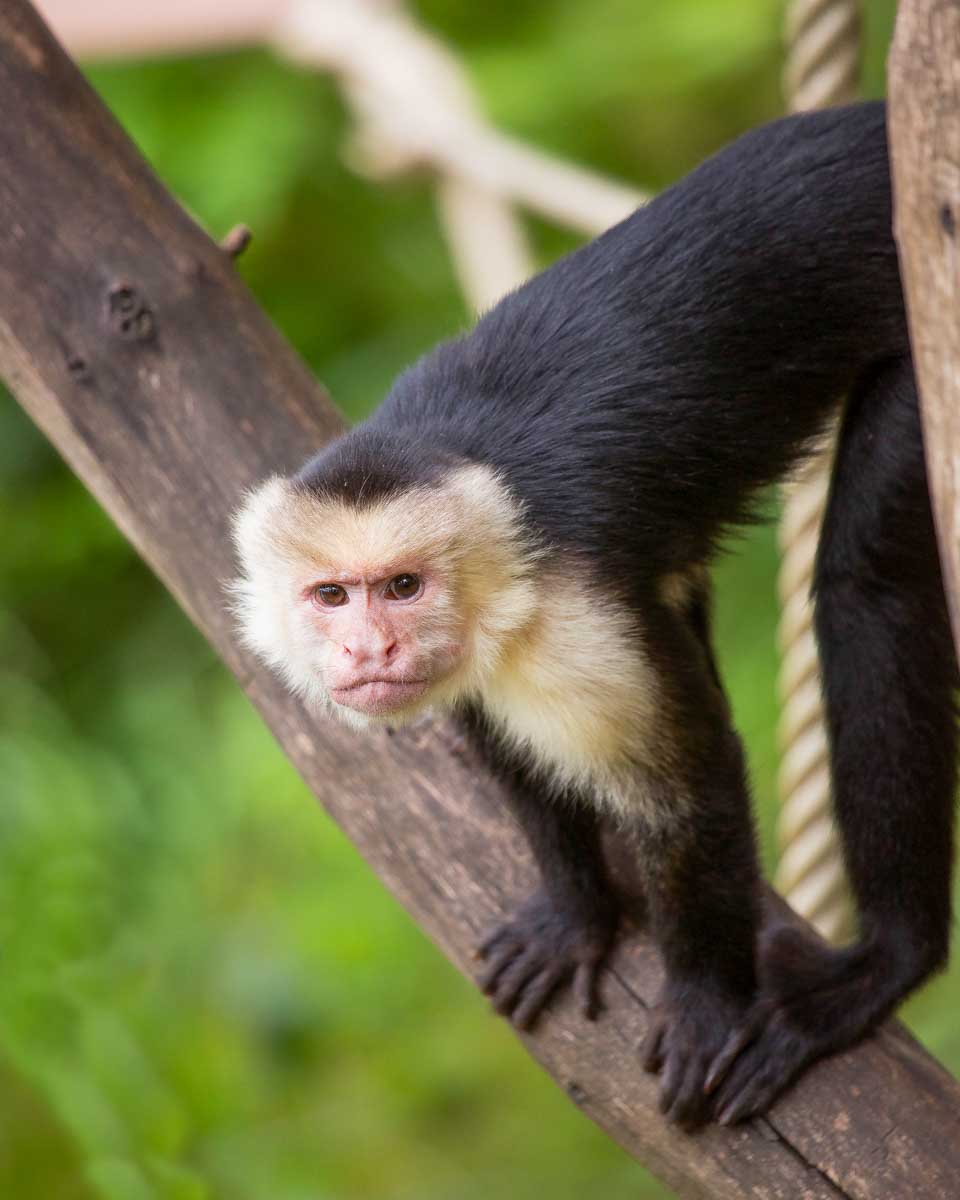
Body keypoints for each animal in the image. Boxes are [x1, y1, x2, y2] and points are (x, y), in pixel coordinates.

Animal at [231, 100, 957, 1128]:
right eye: (331, 595)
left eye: (402, 587)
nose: (370, 646)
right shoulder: (488, 653)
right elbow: (514, 754)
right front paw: (576, 914)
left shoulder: (573, 618)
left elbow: (688, 790)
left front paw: (705, 998)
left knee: (868, 583)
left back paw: (890, 960)